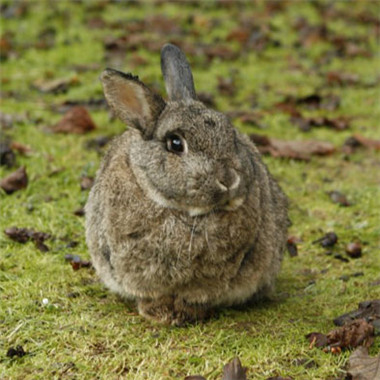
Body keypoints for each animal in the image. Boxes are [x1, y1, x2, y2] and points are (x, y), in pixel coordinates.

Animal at [85, 43, 288, 326]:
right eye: (175, 143)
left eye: (232, 135)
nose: (229, 179)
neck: (180, 211)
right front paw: (158, 313)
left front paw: (185, 314)